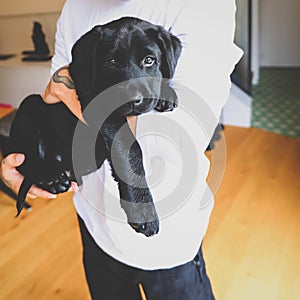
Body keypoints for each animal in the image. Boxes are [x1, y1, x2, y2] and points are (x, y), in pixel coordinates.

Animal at [1, 17, 182, 237]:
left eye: (149, 60)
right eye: (111, 62)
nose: (133, 100)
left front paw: (166, 93)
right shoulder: (102, 108)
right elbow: (131, 151)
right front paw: (143, 210)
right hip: (30, 105)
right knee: (26, 164)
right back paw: (50, 178)